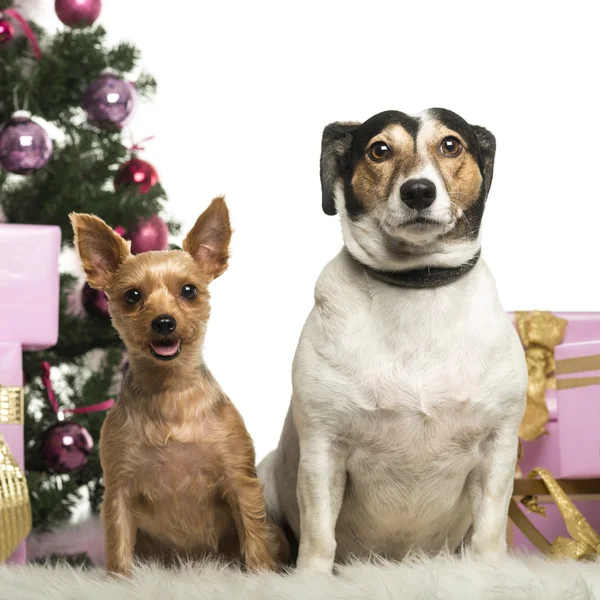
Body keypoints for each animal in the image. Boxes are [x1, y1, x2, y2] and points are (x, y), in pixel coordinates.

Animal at [70, 198, 286, 576]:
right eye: (132, 296)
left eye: (189, 290)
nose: (164, 322)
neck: (169, 393)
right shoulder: (119, 488)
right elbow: (118, 545)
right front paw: (119, 579)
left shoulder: (239, 480)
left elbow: (254, 536)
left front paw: (260, 575)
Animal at [260, 108, 528, 572]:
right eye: (379, 150)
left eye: (451, 144)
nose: (418, 191)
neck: (416, 285)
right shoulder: (323, 450)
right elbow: (319, 535)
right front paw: (311, 578)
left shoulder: (498, 446)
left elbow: (490, 531)